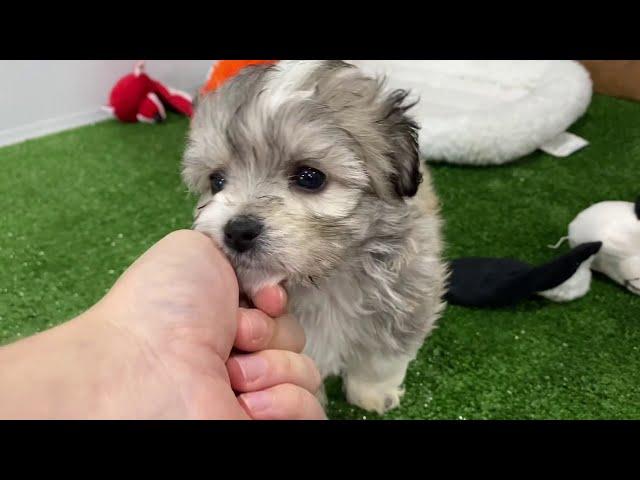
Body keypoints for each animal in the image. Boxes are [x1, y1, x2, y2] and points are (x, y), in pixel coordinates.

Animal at [182, 59, 448, 412]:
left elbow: (381, 359)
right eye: (217, 181)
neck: (324, 279)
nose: (237, 231)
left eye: (310, 177)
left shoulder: (408, 294)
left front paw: (372, 392)